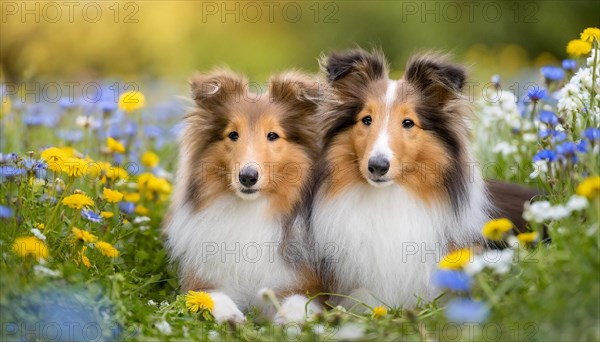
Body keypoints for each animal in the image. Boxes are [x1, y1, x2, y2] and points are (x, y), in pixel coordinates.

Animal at [164, 70, 324, 324]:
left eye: (272, 135)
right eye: (233, 134)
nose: (248, 177)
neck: (251, 209)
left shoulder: (308, 285)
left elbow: (300, 302)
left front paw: (287, 321)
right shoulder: (200, 279)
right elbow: (210, 297)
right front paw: (232, 316)